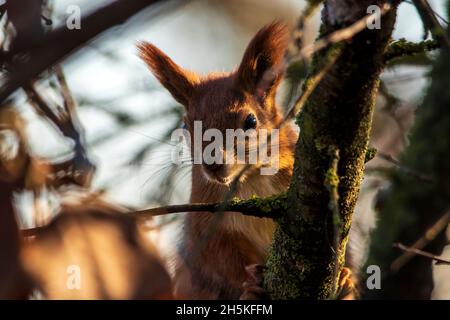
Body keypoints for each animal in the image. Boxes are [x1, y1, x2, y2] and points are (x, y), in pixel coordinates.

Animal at [139, 23, 356, 300]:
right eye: (185, 126)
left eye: (251, 121)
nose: (213, 164)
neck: (251, 180)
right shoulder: (206, 222)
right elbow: (222, 260)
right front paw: (252, 285)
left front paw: (346, 280)